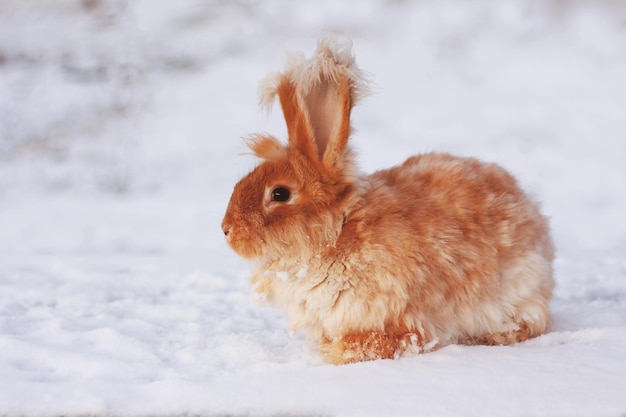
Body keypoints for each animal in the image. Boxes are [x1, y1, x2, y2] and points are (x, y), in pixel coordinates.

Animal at [222, 39, 552, 364]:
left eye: (279, 194)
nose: (226, 229)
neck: (338, 232)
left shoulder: (401, 318)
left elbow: (381, 342)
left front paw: (337, 351)